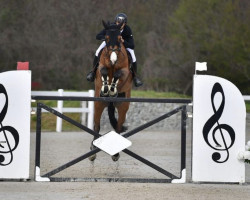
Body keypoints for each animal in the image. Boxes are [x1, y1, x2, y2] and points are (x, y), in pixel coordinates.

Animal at [89, 19, 134, 161]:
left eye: (120, 38)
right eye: (106, 38)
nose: (113, 59)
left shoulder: (125, 71)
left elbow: (118, 74)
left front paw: (112, 89)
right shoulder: (101, 67)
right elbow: (103, 71)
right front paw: (106, 88)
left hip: (123, 106)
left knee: (118, 127)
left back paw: (115, 154)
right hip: (98, 104)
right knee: (96, 126)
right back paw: (92, 151)